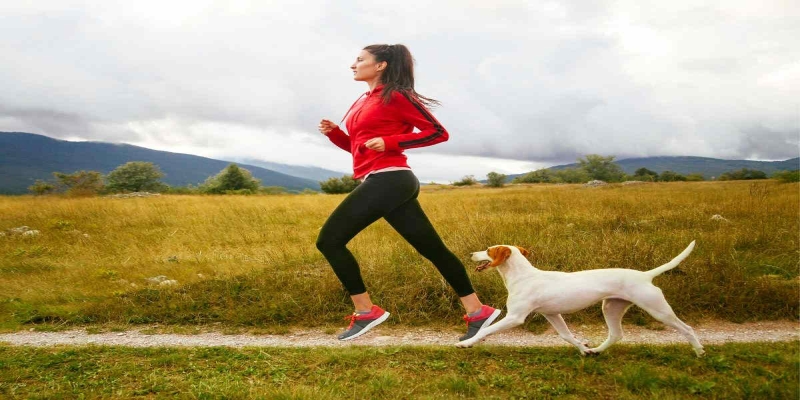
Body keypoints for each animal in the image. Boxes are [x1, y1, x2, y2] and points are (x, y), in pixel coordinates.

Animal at [460, 241, 704, 356]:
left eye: (489, 249)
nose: (470, 254)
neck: (524, 276)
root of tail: (645, 275)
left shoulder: (515, 317)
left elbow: (486, 329)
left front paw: (467, 343)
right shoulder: (552, 314)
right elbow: (567, 335)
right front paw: (583, 348)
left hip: (657, 309)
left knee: (687, 328)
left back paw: (699, 351)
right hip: (611, 308)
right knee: (616, 334)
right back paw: (596, 351)